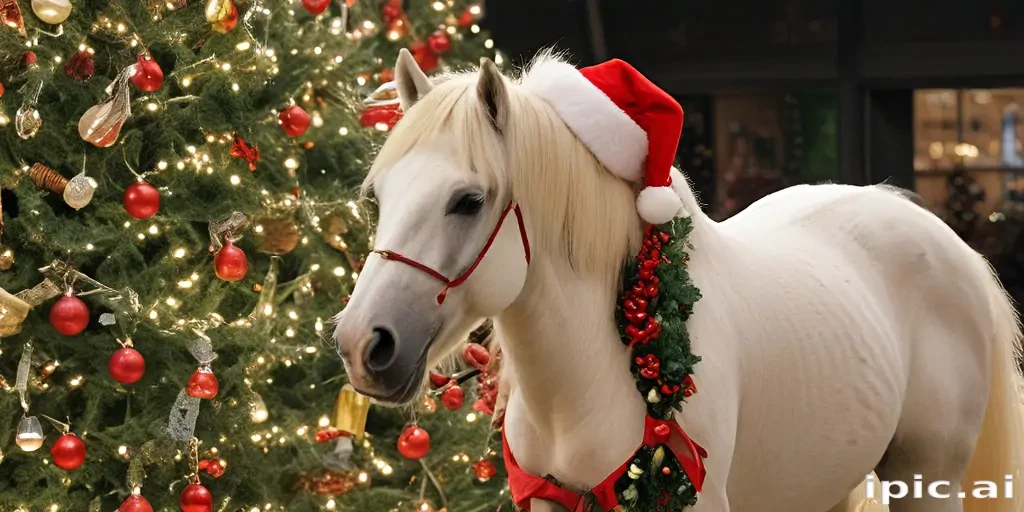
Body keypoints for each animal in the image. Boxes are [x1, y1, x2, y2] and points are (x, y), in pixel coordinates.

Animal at [333, 49, 1024, 512]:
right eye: (377, 197)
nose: (365, 345)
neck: (590, 377)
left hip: (926, 478)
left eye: (469, 201)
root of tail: (944, 238)